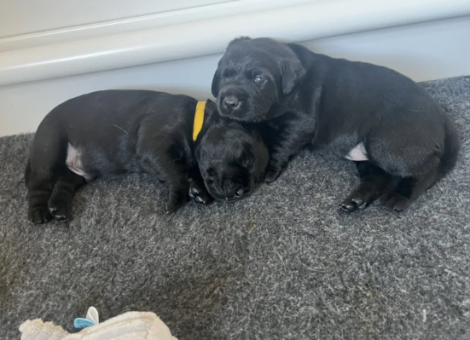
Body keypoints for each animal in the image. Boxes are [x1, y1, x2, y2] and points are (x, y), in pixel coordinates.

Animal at [25, 89, 268, 226]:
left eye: (257, 178)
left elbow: (187, 170)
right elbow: (176, 173)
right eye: (243, 156)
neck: (194, 122)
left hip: (78, 173)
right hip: (50, 145)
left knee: (64, 183)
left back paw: (59, 209)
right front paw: (176, 200)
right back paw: (39, 213)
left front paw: (199, 190)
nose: (243, 191)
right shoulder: (154, 146)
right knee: (40, 183)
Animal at [211, 37, 460, 212]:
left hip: (387, 141)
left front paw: (270, 169)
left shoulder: (301, 122)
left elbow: (281, 145)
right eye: (222, 76)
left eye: (259, 79)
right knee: (380, 177)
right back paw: (357, 200)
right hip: (367, 155)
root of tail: (441, 116)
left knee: (427, 168)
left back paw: (400, 195)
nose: (229, 102)